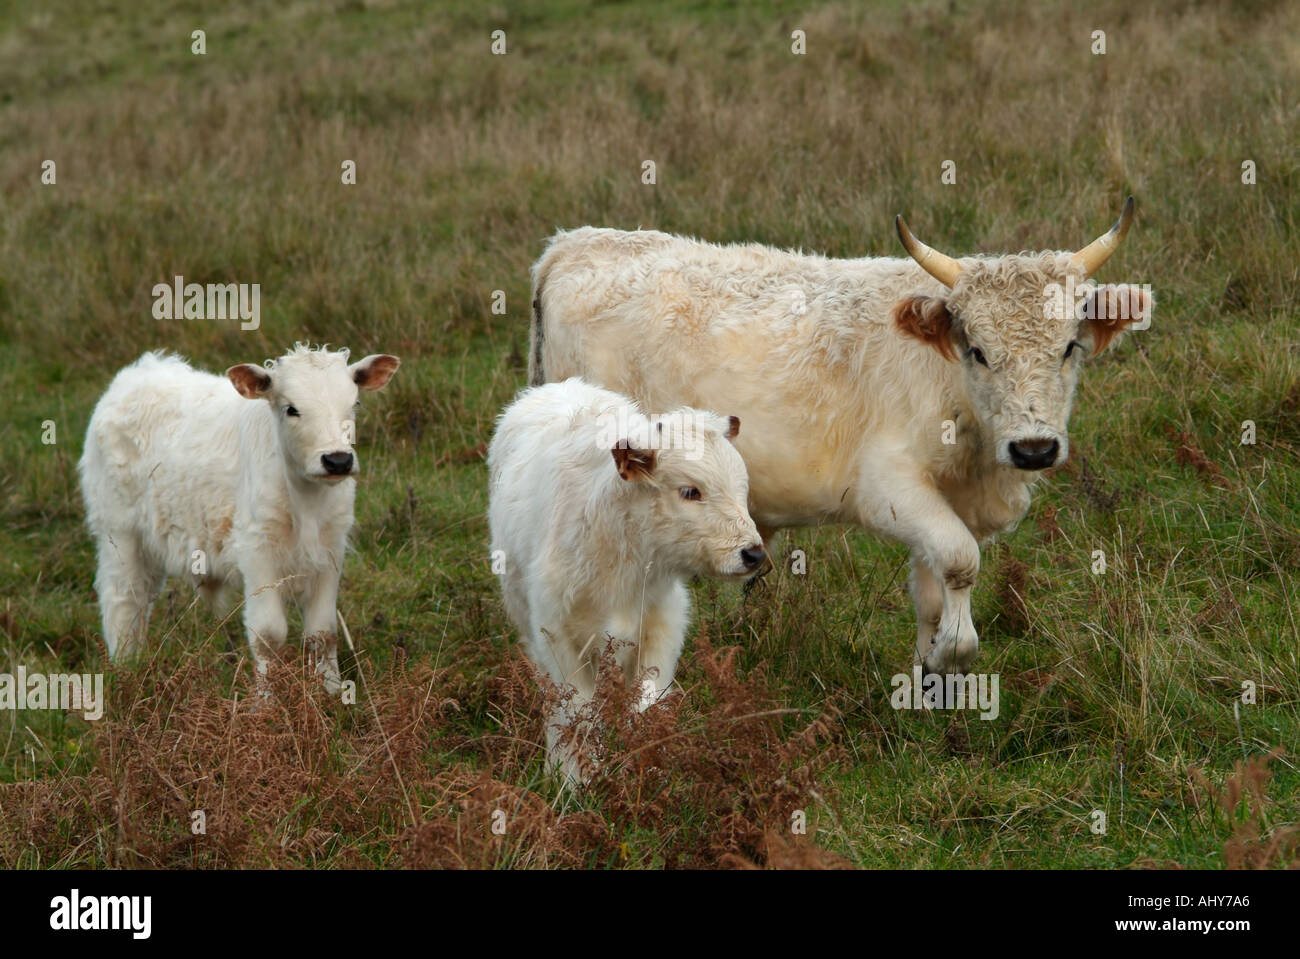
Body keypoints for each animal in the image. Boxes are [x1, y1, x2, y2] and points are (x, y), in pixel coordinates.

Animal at [79, 343, 397, 686]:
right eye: (291, 409)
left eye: (354, 404)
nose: (337, 460)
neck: (306, 502)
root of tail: (141, 371)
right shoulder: (257, 551)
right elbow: (269, 635)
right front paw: (267, 699)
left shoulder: (330, 551)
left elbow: (323, 633)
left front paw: (332, 693)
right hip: (119, 532)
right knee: (124, 600)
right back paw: (126, 671)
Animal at [491, 376, 764, 774]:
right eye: (689, 491)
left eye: (742, 488)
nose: (754, 553)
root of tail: (559, 386)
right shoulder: (556, 636)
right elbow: (577, 713)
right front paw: (573, 775)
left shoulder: (662, 623)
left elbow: (646, 705)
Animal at [530, 194, 1159, 670]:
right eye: (978, 351)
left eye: (1070, 347)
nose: (1033, 449)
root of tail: (573, 243)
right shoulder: (886, 488)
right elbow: (960, 561)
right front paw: (948, 654)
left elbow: (932, 591)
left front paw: (929, 677)